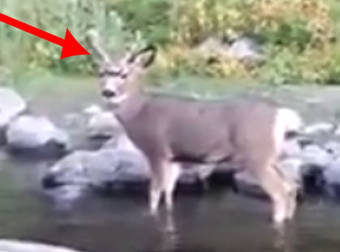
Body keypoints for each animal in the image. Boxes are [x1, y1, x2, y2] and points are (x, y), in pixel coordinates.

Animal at [87, 32, 302, 224]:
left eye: (124, 74)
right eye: (101, 73)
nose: (108, 92)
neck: (139, 112)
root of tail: (280, 115)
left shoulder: (156, 151)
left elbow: (154, 193)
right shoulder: (175, 158)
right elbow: (169, 192)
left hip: (256, 154)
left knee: (280, 192)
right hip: (272, 156)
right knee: (291, 186)